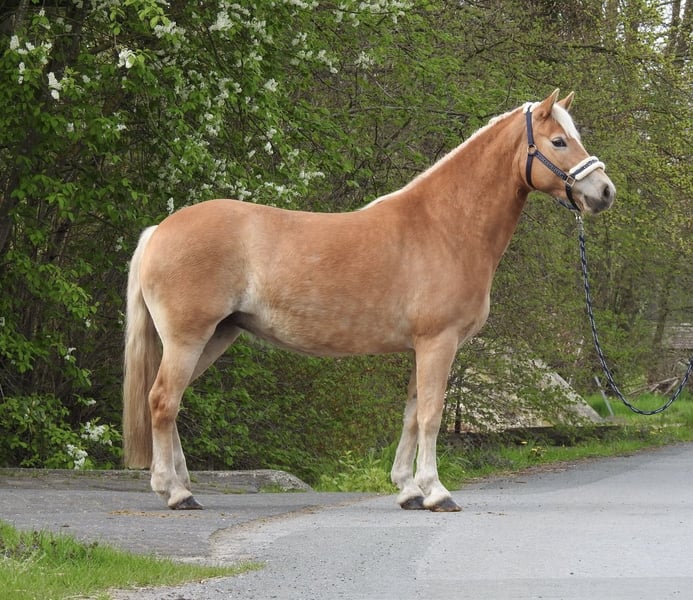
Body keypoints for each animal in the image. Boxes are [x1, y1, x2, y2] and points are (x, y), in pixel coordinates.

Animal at [123, 89, 615, 512]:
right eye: (558, 141)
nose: (604, 192)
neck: (444, 226)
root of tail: (159, 231)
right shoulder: (439, 342)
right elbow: (432, 415)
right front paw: (436, 492)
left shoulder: (423, 346)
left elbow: (412, 416)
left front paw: (408, 490)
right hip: (189, 338)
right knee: (163, 400)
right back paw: (175, 492)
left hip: (216, 336)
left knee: (170, 400)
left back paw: (181, 484)